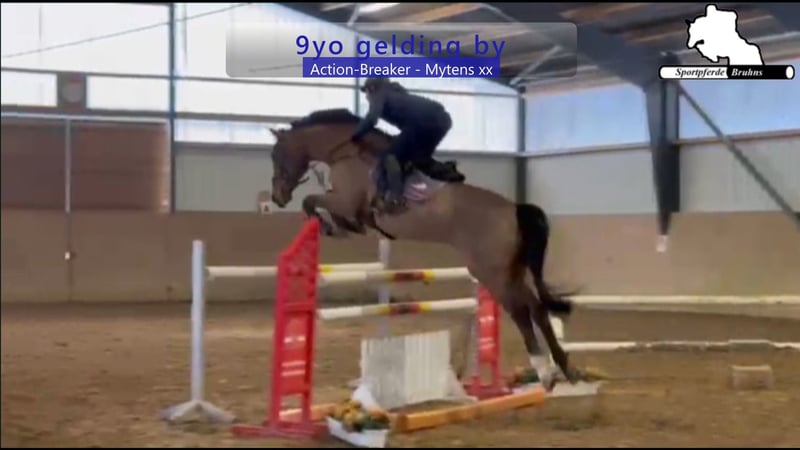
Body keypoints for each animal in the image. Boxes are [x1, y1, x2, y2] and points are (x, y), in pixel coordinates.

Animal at [268, 108, 581, 390]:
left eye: (276, 155)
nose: (278, 197)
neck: (347, 152)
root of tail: (514, 209)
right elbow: (329, 210)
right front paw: (338, 227)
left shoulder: (344, 200)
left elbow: (311, 201)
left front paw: (328, 226)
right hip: (510, 270)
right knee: (537, 307)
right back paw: (566, 368)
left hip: (490, 271)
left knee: (520, 310)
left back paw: (545, 373)